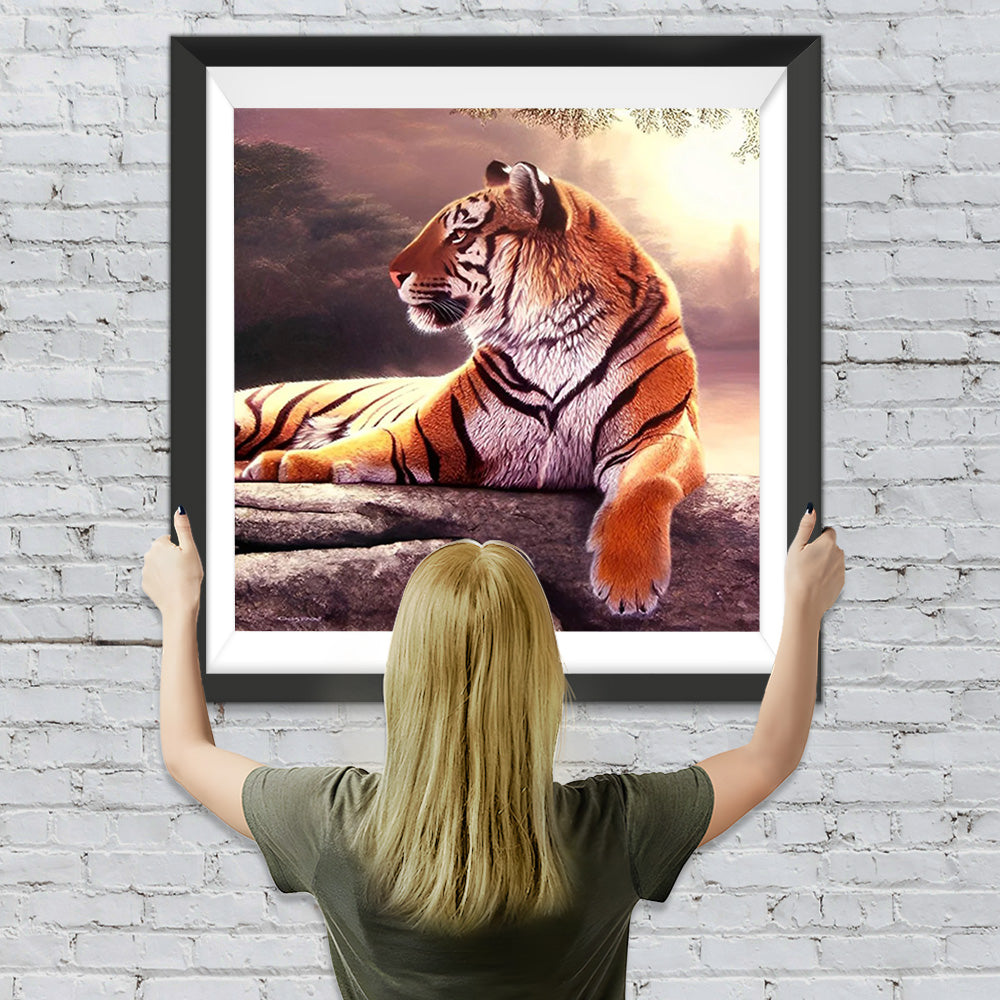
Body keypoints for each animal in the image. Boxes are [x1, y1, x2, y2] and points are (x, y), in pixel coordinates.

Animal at [235, 160, 707, 615]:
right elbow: (354, 447)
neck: (555, 336)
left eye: (459, 235)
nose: (393, 274)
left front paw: (628, 582)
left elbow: (647, 484)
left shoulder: (664, 434)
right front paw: (279, 463)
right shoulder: (424, 436)